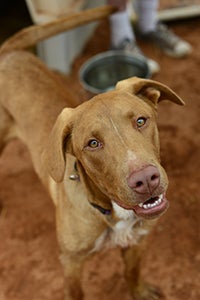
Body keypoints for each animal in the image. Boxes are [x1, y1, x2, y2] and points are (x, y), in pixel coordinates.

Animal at [0, 4, 184, 300]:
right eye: (93, 143)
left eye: (141, 121)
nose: (146, 180)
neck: (113, 213)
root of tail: (10, 51)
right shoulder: (71, 262)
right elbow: (76, 292)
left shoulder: (138, 242)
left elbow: (132, 273)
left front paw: (140, 292)